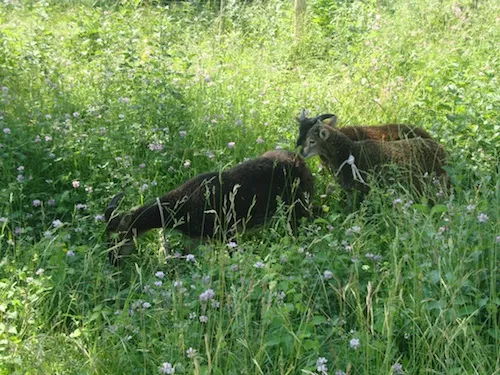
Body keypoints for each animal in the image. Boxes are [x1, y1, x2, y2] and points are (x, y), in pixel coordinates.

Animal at [105, 149, 314, 264]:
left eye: (118, 237)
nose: (112, 261)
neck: (181, 209)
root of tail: (301, 160)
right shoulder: (195, 239)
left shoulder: (227, 231)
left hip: (300, 203)